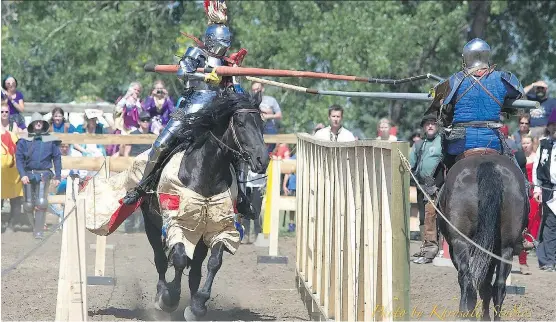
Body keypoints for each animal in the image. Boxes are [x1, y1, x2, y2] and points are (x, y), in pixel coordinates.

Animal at [139, 92, 270, 320]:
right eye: (240, 123)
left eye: (261, 123)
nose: (262, 160)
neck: (205, 173)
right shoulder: (177, 223)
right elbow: (179, 258)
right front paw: (170, 298)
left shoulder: (219, 227)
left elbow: (214, 262)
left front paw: (198, 305)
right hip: (151, 225)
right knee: (161, 260)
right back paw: (161, 294)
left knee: (195, 270)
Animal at [438, 152, 524, 320]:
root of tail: (487, 165)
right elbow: (486, 285)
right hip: (505, 248)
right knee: (499, 285)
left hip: (460, 243)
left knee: (466, 278)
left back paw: (465, 314)